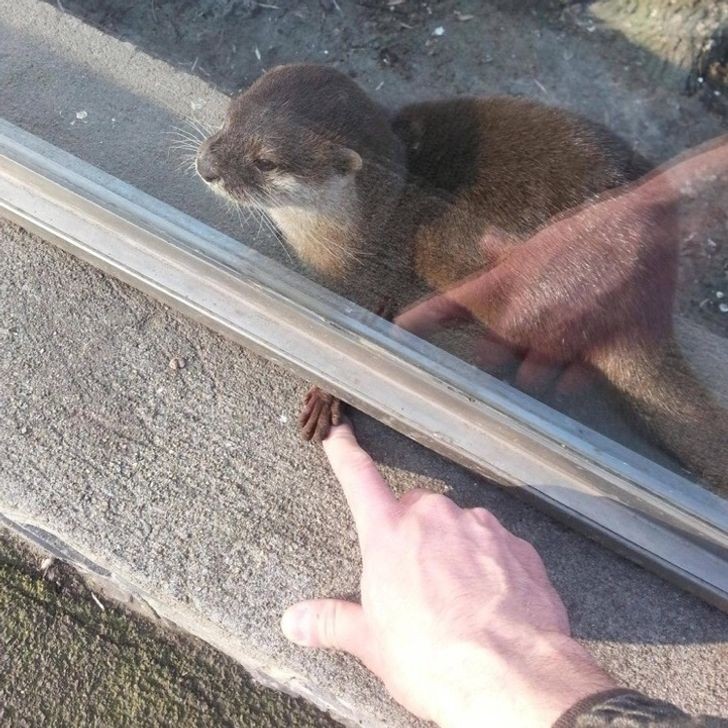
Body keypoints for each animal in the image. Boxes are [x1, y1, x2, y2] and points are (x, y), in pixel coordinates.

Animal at [195, 64, 728, 494]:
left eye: (266, 161)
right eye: (228, 120)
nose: (206, 166)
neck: (375, 219)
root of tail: (651, 289)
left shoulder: (384, 274)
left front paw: (331, 394)